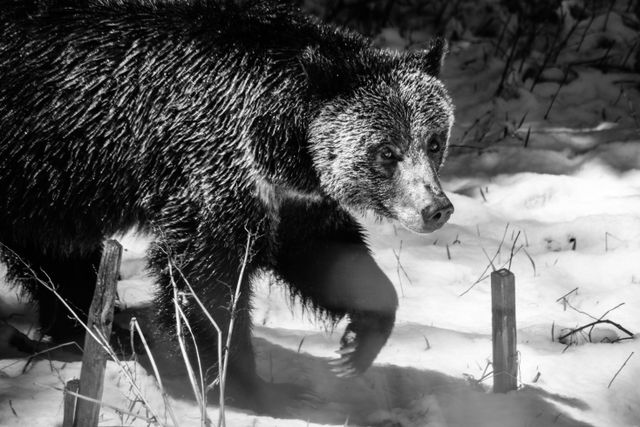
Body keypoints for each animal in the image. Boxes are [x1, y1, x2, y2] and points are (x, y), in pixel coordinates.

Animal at [0, 0, 456, 412]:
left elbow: (326, 256)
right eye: (387, 151)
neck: (278, 144)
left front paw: (356, 345)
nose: (436, 208)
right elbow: (207, 282)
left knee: (55, 256)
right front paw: (249, 388)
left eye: (434, 141)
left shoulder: (287, 199)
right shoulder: (213, 167)